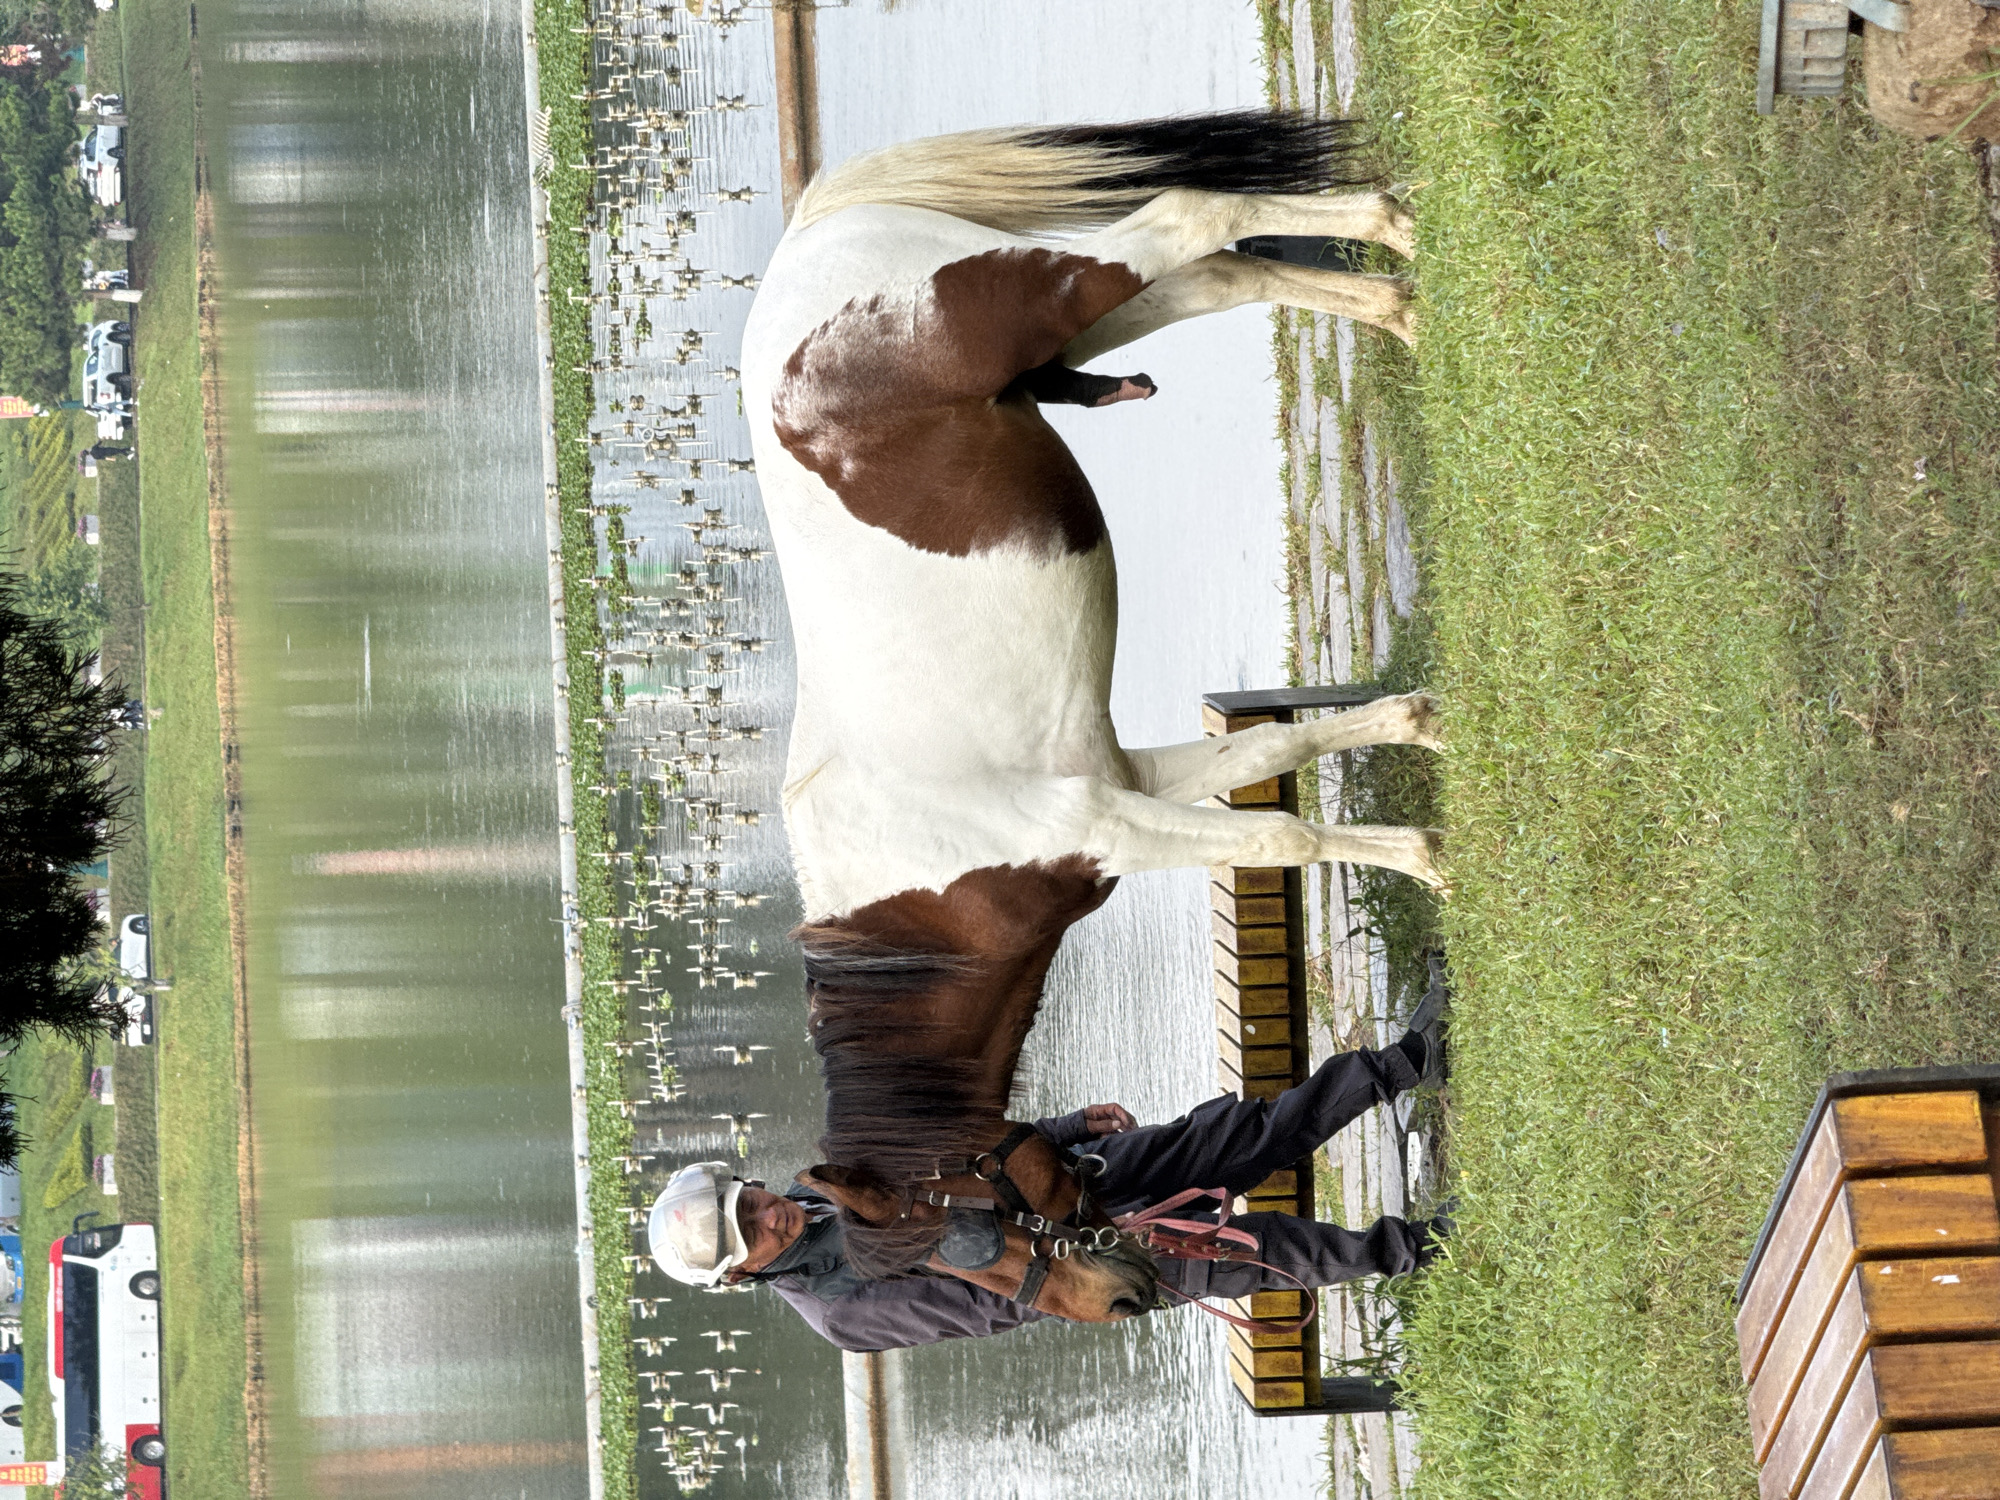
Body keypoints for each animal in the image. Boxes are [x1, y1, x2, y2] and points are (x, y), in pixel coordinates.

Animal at [740, 110, 1443, 1321]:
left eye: (960, 1242)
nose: (1121, 1288)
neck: (921, 894)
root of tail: (803, 249)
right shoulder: (1132, 780)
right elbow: (1288, 746)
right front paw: (1417, 727)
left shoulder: (1114, 826)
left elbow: (1280, 832)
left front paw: (1431, 857)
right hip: (1097, 314)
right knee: (1221, 272)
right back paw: (1393, 296)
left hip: (1059, 289)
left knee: (1188, 220)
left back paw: (1381, 230)